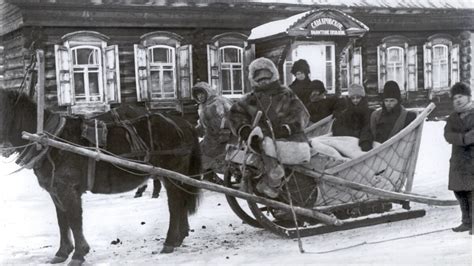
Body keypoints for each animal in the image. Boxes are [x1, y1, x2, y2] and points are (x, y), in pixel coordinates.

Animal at [0, 90, 202, 266]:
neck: (50, 141)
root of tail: (183, 124)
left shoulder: (68, 190)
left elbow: (74, 221)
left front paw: (79, 254)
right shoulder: (55, 192)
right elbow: (62, 221)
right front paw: (62, 253)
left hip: (172, 174)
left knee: (175, 204)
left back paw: (170, 242)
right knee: (180, 202)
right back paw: (179, 237)